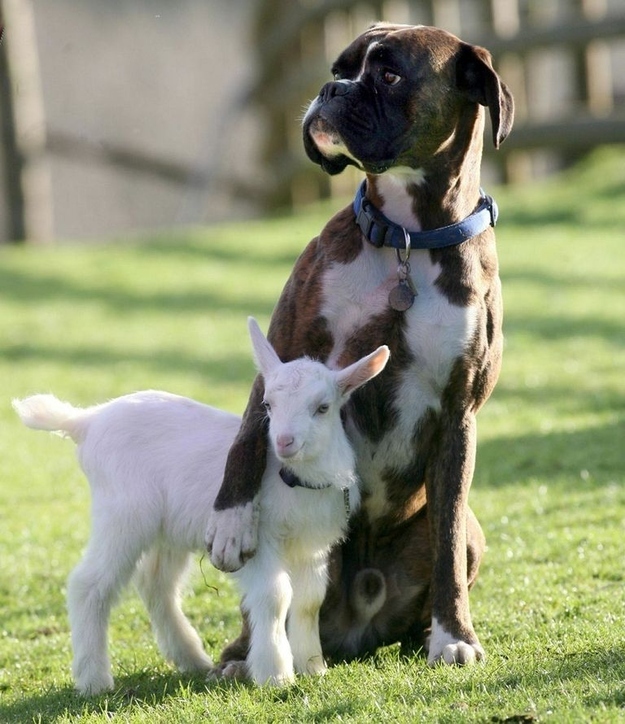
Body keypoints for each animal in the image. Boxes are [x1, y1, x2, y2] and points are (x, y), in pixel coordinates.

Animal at [13, 318, 389, 694]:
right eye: (267, 404)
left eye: (322, 407)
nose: (284, 442)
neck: (297, 478)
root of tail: (86, 421)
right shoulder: (257, 539)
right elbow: (275, 596)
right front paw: (276, 675)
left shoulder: (312, 546)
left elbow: (310, 601)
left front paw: (313, 667)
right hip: (123, 514)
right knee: (88, 584)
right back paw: (94, 679)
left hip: (167, 528)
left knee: (156, 585)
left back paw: (191, 658)